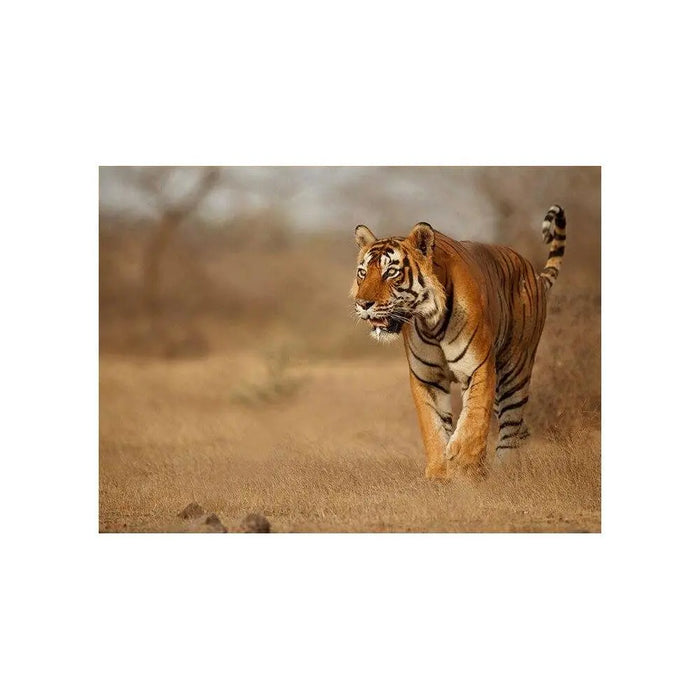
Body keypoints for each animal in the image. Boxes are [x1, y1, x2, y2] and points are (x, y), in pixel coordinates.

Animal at [351, 205, 566, 480]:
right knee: (521, 428)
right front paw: (439, 474)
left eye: (391, 272)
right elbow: (433, 427)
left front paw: (464, 467)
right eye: (363, 273)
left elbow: (473, 420)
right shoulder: (427, 378)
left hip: (515, 371)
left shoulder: (478, 368)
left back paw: (504, 472)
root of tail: (534, 274)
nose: (362, 304)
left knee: (511, 425)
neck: (431, 323)